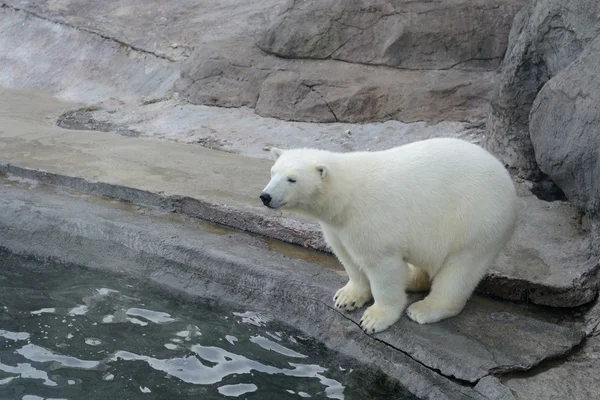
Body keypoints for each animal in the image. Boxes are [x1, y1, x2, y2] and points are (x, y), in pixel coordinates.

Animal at [260, 139, 516, 332]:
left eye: (292, 179)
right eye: (273, 172)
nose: (265, 196)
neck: (346, 197)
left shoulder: (371, 221)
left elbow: (381, 267)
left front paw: (374, 319)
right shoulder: (337, 227)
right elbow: (347, 257)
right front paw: (346, 297)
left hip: (476, 220)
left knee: (461, 268)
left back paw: (424, 309)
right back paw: (411, 279)